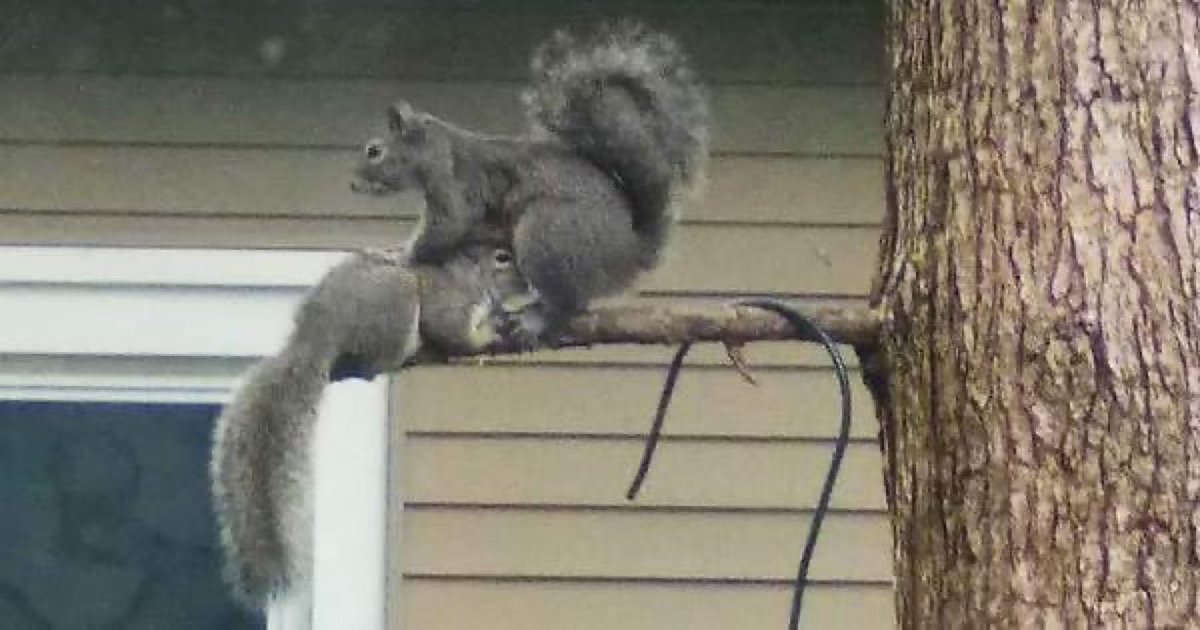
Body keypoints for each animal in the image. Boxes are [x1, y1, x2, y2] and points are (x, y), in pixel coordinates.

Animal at [209, 245, 529, 608]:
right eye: (502, 258)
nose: (532, 284)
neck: (469, 276)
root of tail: (316, 335)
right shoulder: (448, 300)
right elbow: (452, 330)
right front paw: (491, 337)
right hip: (396, 305)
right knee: (377, 362)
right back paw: (411, 357)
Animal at [351, 21, 709, 345]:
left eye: (374, 151)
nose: (353, 185)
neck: (436, 147)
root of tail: (630, 251)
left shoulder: (454, 183)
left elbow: (448, 226)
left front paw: (399, 257)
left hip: (547, 236)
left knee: (568, 303)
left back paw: (536, 319)